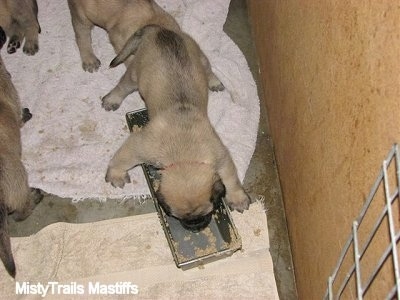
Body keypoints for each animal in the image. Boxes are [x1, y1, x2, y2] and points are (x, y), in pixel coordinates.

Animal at [106, 25, 250, 232]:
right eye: (178, 216)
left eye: (207, 213)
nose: (195, 226)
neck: (185, 156)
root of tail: (160, 30)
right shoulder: (139, 146)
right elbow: (121, 159)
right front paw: (116, 174)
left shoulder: (221, 158)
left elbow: (231, 178)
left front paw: (237, 197)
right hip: (134, 74)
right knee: (122, 86)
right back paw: (112, 99)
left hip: (199, 56)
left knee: (208, 70)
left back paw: (214, 82)